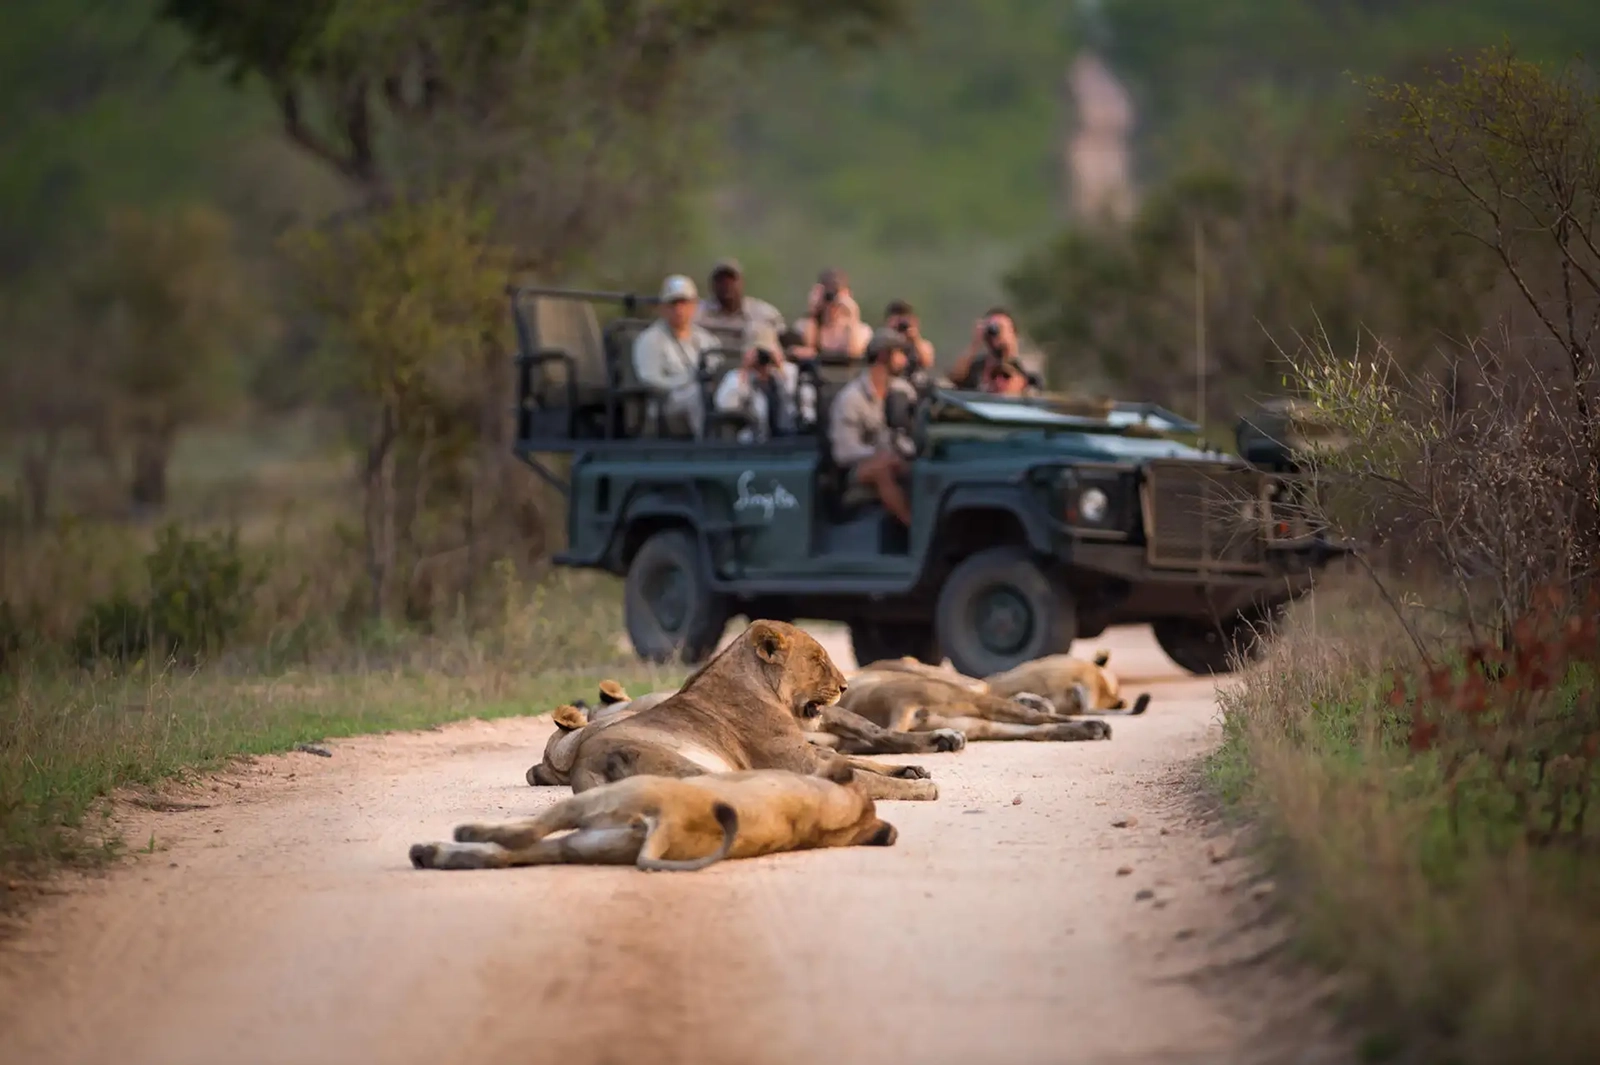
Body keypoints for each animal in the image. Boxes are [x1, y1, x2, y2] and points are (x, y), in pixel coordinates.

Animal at [523, 620, 939, 801]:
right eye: (818, 660)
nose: (845, 687)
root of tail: (584, 769)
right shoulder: (806, 763)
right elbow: (867, 777)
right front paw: (920, 787)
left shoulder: (810, 753)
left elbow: (860, 761)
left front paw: (910, 769)